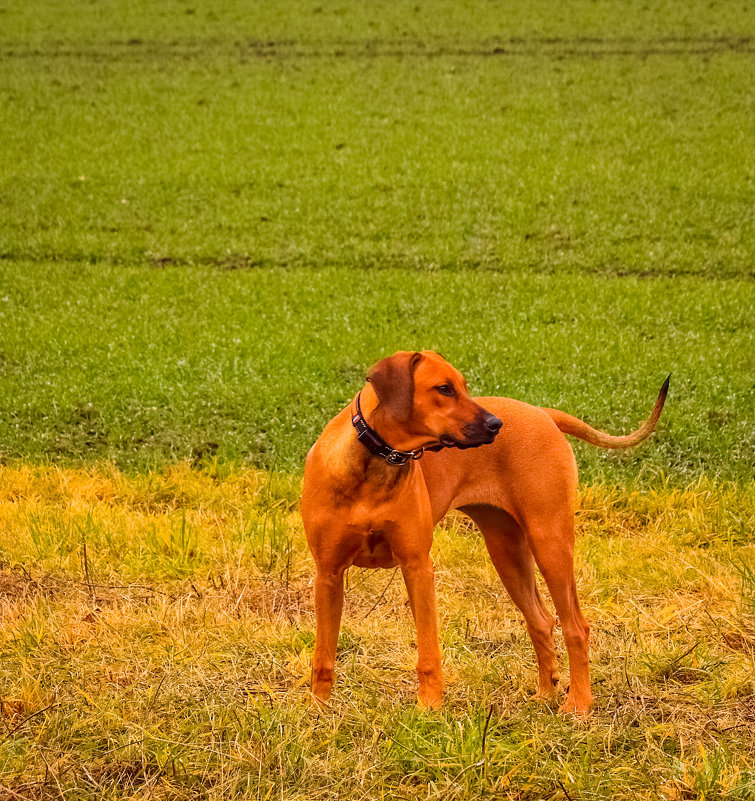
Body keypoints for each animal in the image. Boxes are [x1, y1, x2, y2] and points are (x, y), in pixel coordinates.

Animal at [302, 354, 668, 716]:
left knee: (576, 626)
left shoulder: (417, 566)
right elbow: (323, 654)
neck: (374, 463)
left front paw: (429, 706)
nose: (495, 424)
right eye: (444, 389)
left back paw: (578, 703)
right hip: (506, 551)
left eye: (464, 387)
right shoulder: (328, 574)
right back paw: (546, 693)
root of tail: (543, 413)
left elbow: (428, 650)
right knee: (541, 620)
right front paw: (318, 708)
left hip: (549, 541)